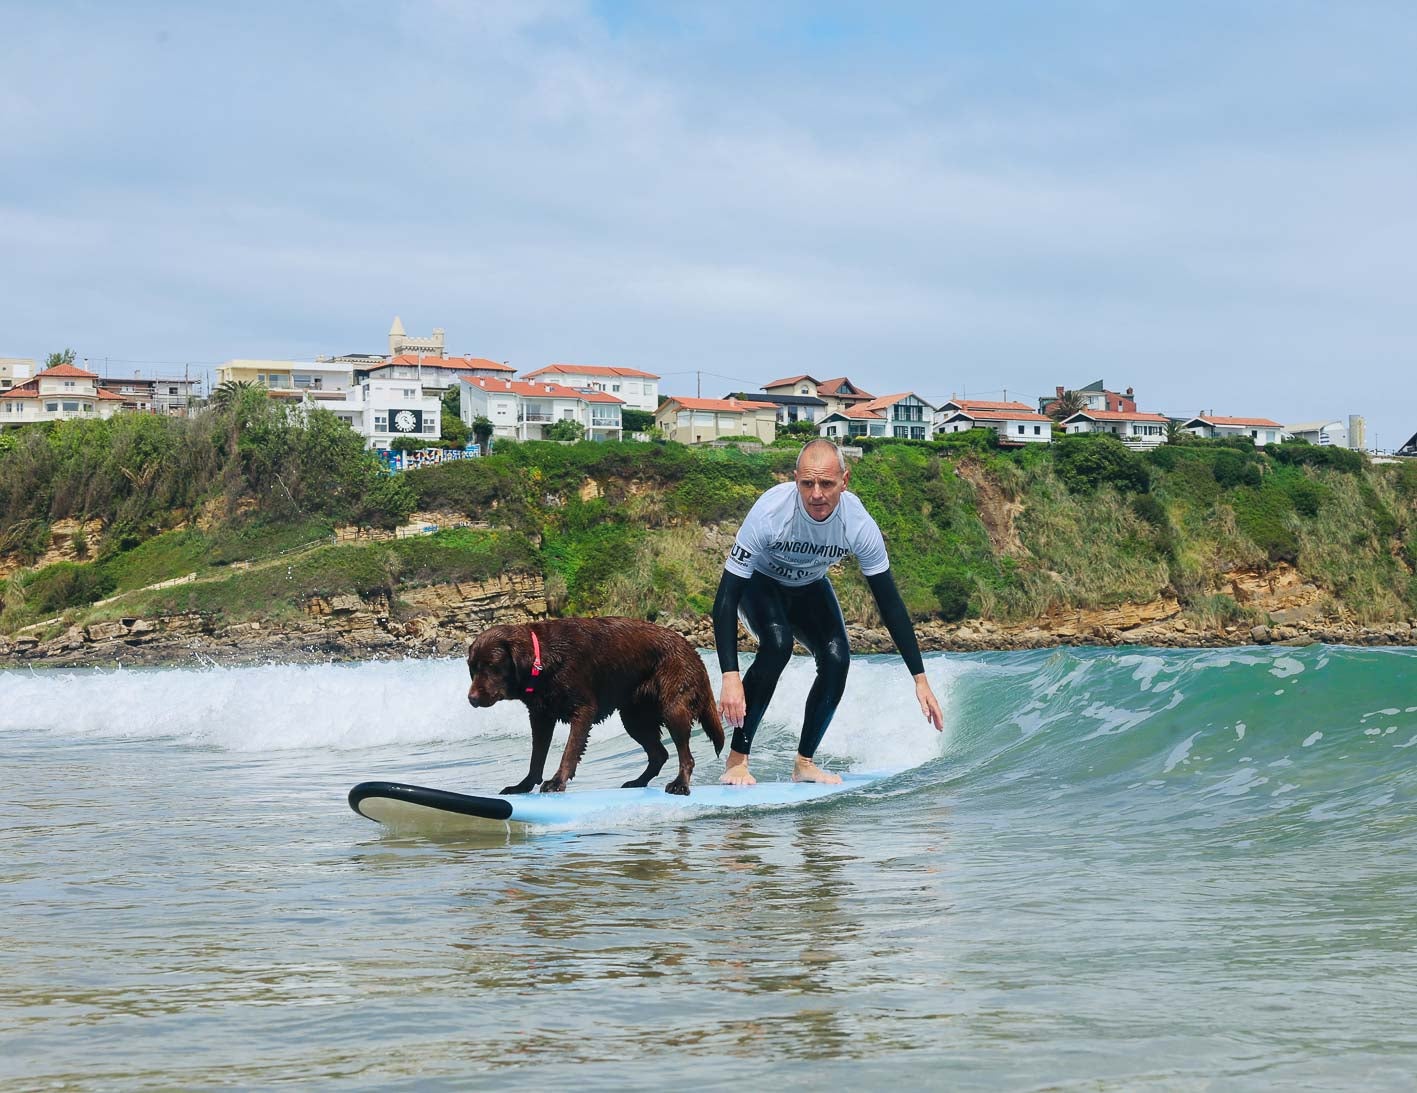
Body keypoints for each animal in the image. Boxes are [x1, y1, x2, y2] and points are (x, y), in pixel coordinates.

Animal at [467, 623, 725, 793]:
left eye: (492, 666)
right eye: (472, 667)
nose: (471, 699)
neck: (543, 657)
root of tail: (693, 650)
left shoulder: (583, 710)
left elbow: (570, 751)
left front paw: (557, 781)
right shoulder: (540, 717)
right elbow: (536, 757)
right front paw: (523, 785)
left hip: (673, 708)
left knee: (685, 755)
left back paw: (680, 784)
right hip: (633, 718)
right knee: (659, 754)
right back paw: (637, 782)